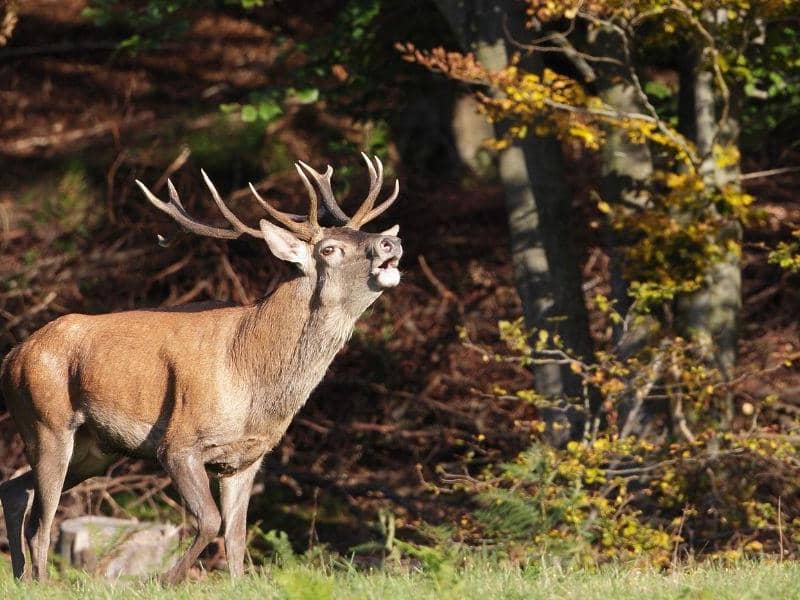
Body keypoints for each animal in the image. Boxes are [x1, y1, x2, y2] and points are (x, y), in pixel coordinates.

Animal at [0, 154, 403, 584]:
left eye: (365, 233)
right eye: (329, 249)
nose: (390, 241)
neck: (252, 378)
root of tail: (12, 357)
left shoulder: (248, 459)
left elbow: (237, 535)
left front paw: (237, 583)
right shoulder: (178, 443)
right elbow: (210, 521)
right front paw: (164, 579)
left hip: (95, 448)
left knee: (16, 489)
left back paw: (21, 576)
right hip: (47, 421)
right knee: (42, 522)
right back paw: (40, 581)